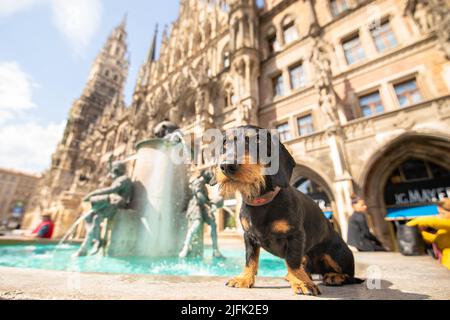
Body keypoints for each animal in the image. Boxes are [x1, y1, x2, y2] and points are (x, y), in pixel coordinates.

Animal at [213, 126, 364, 296]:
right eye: (225, 143)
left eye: (258, 141)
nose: (227, 166)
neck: (261, 202)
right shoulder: (248, 236)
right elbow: (250, 259)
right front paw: (244, 278)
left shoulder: (295, 235)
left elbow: (292, 261)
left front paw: (301, 283)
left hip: (337, 253)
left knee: (350, 276)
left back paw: (334, 276)